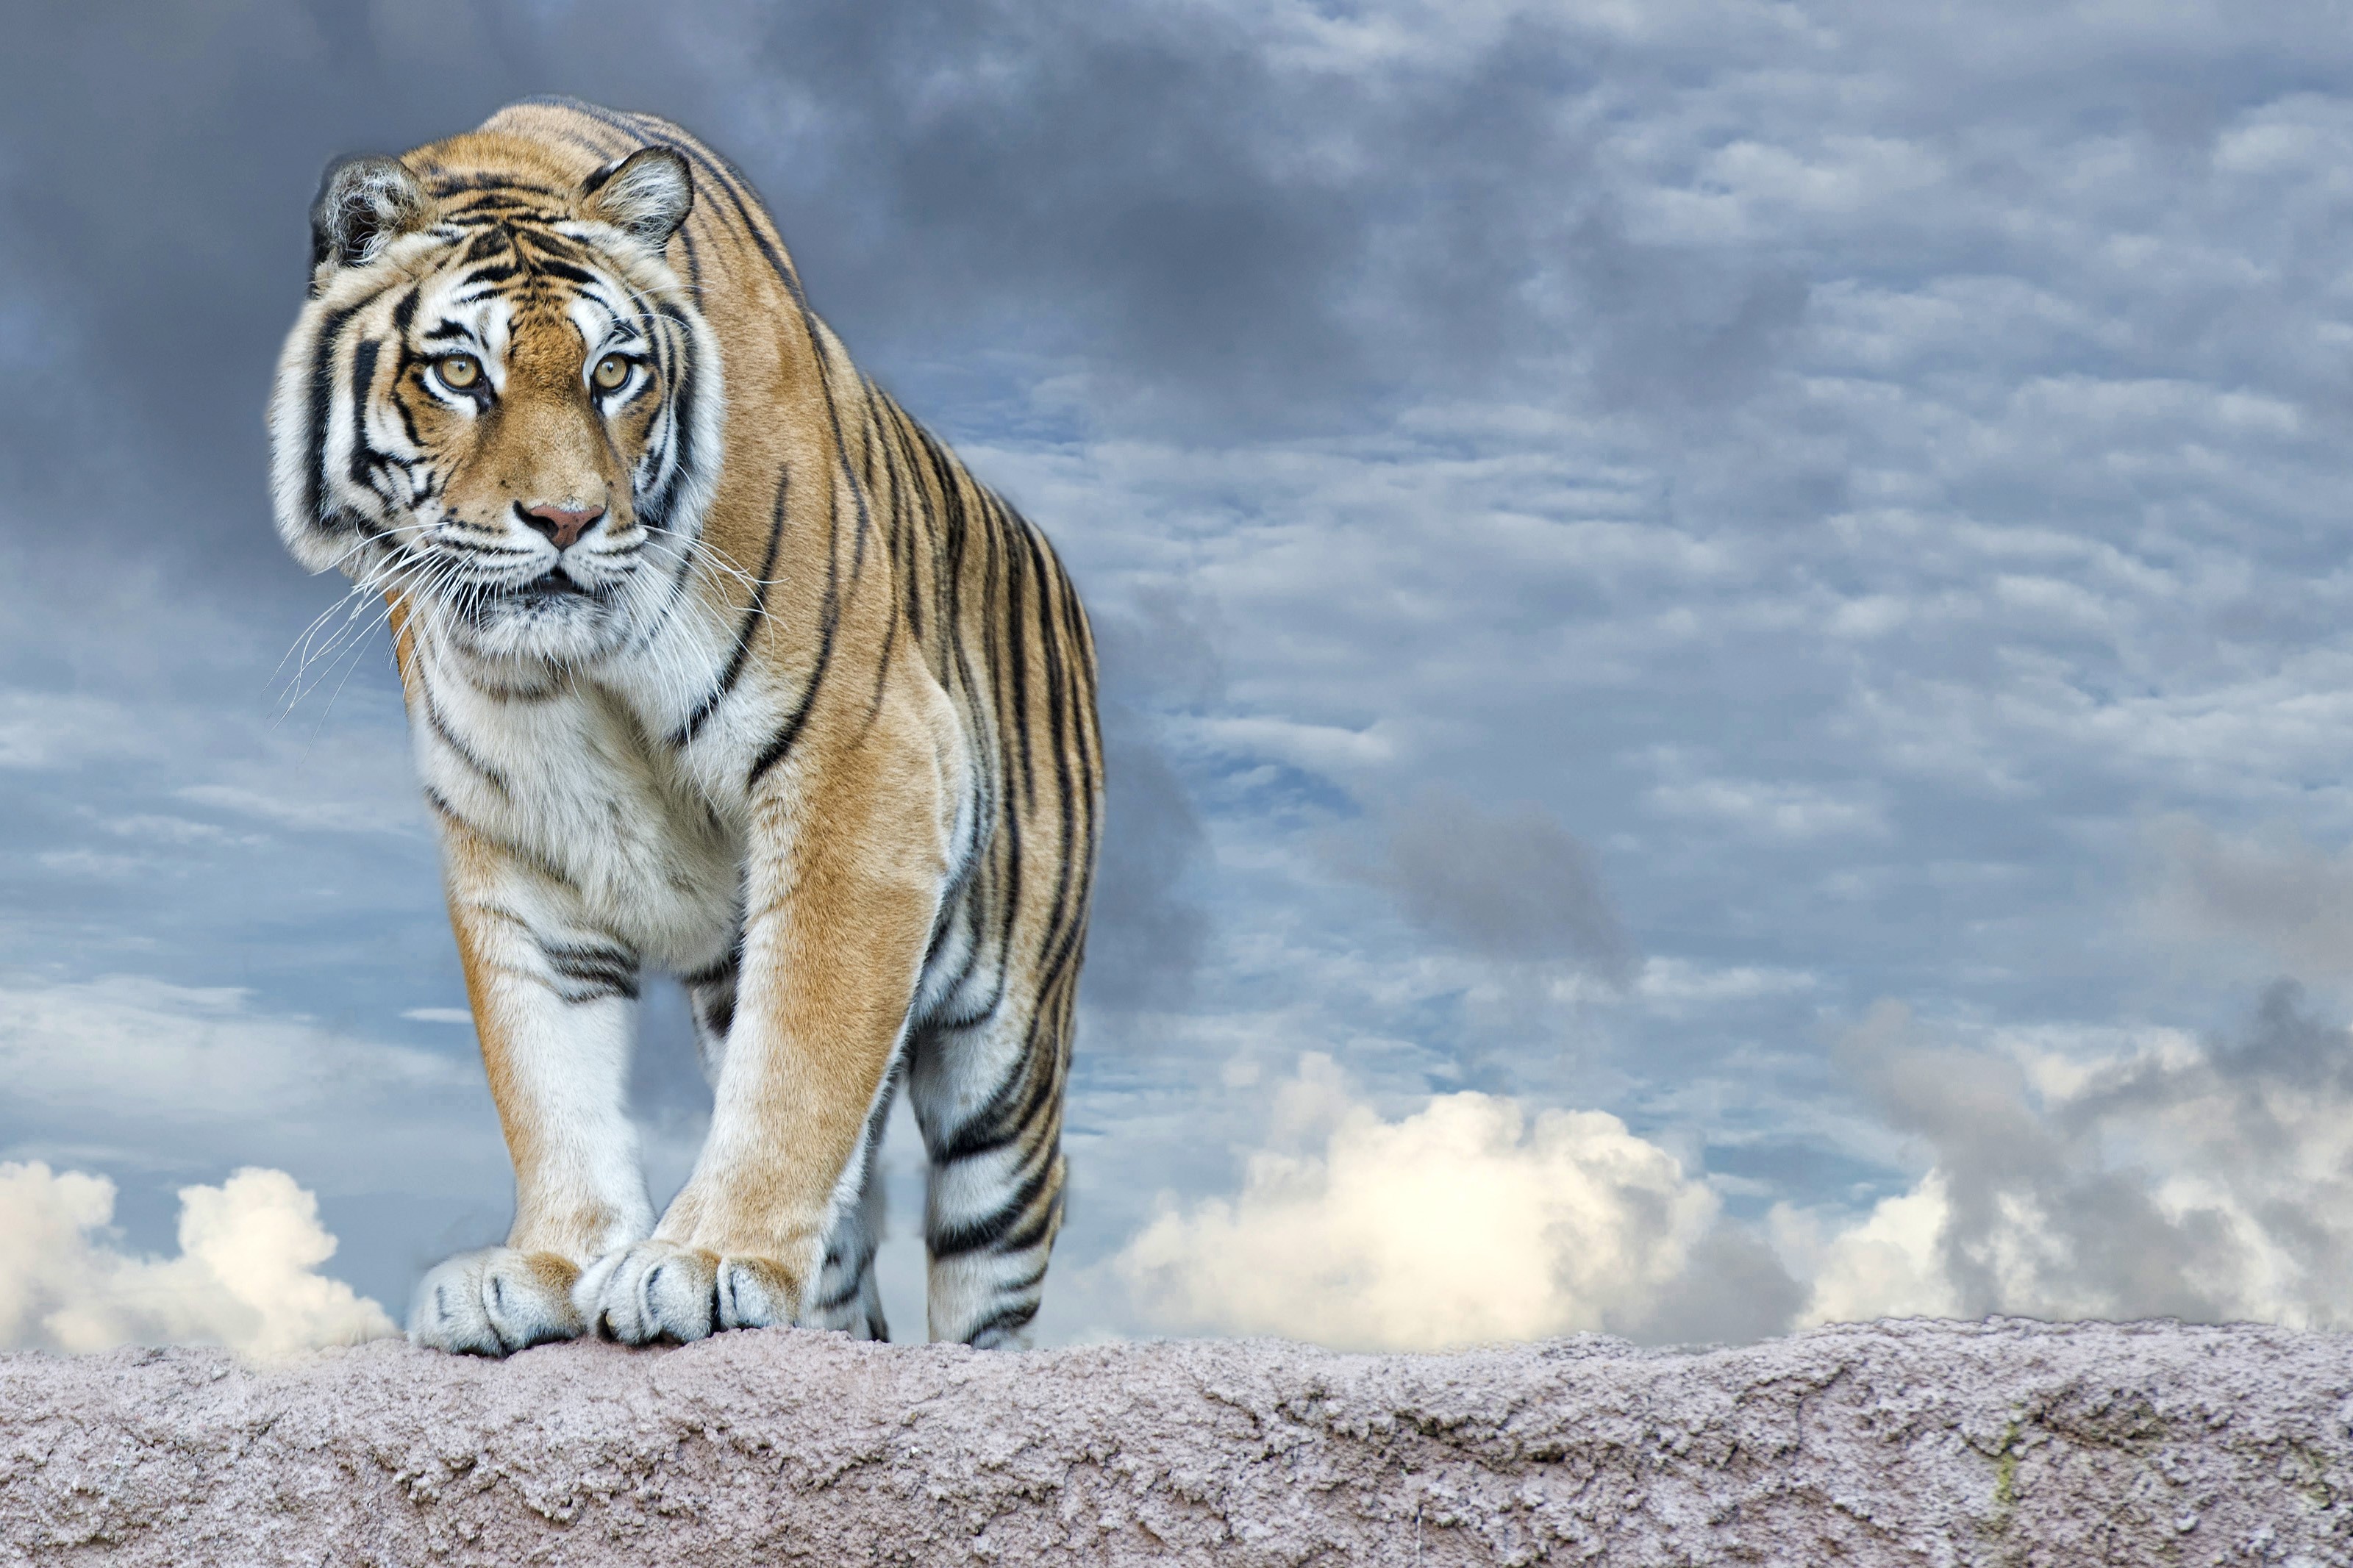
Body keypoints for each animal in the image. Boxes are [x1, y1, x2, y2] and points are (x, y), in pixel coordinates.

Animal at [266, 98, 1101, 1353]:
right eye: (460, 372)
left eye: (614, 372)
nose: (565, 519)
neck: (569, 668)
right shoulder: (513, 833)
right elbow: (546, 1070)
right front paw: (551, 1263)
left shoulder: (862, 757)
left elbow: (799, 1054)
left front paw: (709, 1260)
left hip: (1006, 1063)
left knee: (986, 1270)